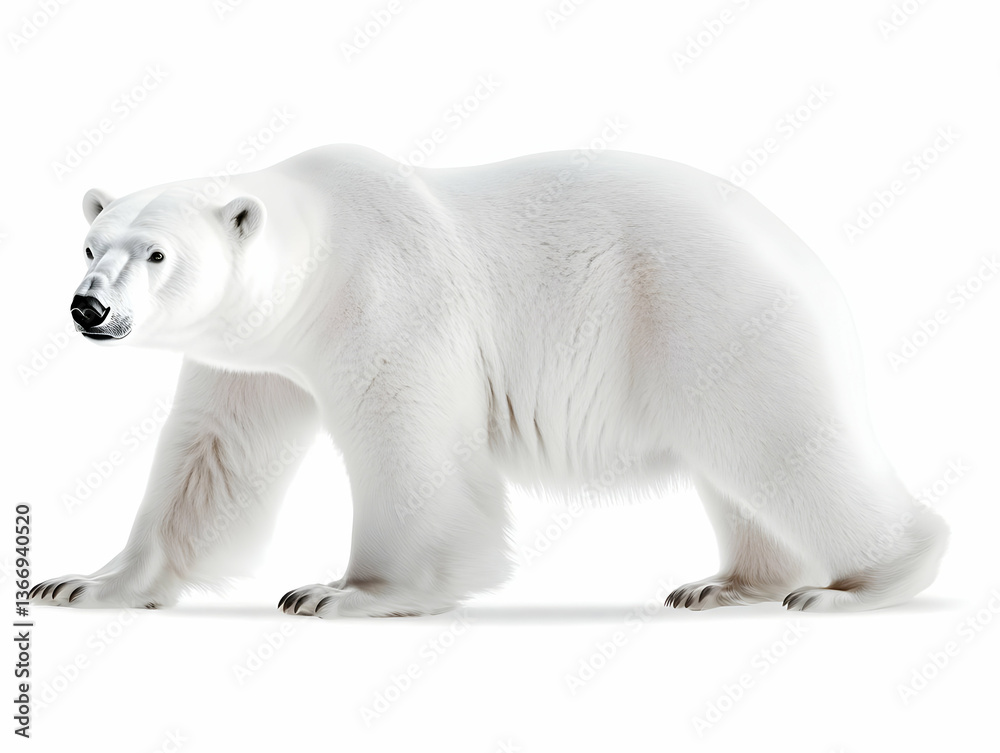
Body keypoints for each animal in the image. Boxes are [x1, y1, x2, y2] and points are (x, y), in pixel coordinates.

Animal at [31, 144, 948, 617]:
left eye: (158, 253)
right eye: (91, 244)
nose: (87, 307)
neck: (320, 252)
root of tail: (801, 249)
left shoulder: (389, 298)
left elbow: (407, 436)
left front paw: (350, 590)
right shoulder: (253, 356)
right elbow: (213, 455)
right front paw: (82, 581)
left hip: (709, 311)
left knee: (780, 442)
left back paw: (862, 583)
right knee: (740, 467)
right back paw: (726, 584)